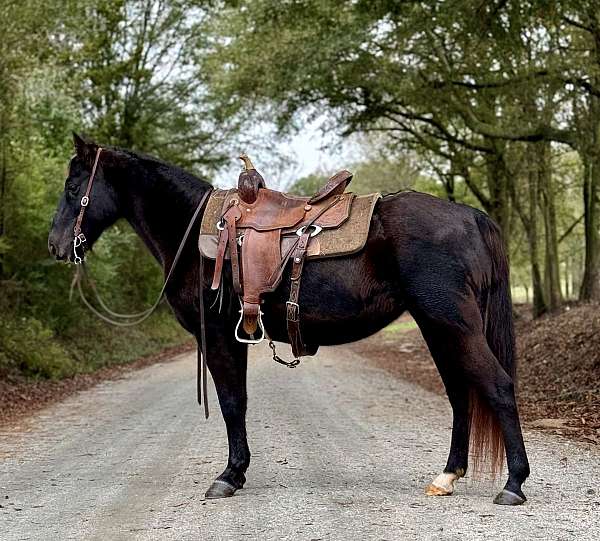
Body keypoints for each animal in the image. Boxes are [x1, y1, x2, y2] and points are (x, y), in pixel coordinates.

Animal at [50, 133, 528, 504]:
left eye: (74, 186)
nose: (56, 245)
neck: (194, 232)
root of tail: (471, 216)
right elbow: (238, 402)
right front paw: (237, 472)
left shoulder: (220, 337)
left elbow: (232, 403)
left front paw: (229, 476)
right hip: (437, 327)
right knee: (461, 395)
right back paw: (446, 477)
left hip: (452, 323)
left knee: (498, 387)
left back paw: (514, 484)